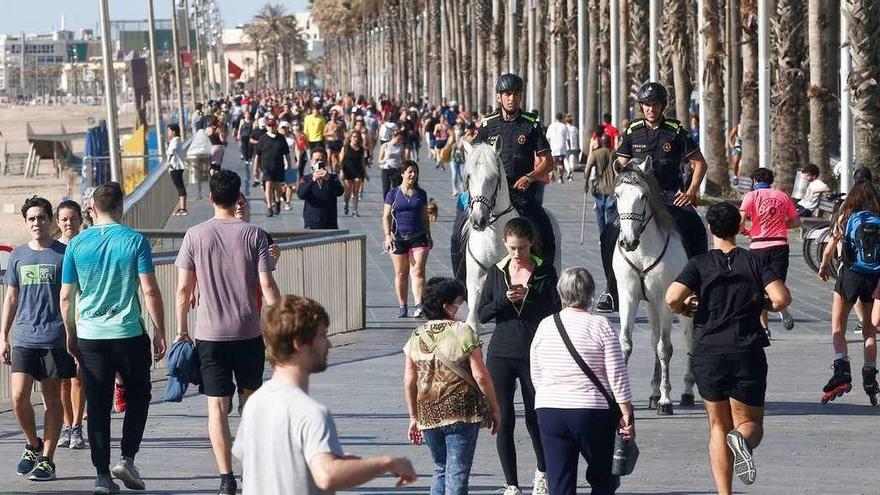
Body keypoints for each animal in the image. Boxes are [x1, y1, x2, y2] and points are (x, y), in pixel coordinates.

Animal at [458, 138, 560, 330]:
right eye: (469, 177)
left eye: (493, 177)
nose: (478, 220)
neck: (494, 236)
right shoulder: (476, 282)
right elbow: (473, 318)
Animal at [612, 158, 696, 414]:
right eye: (617, 195)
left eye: (643, 196)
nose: (628, 241)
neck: (641, 250)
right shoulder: (628, 297)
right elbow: (627, 343)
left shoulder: (664, 300)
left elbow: (665, 348)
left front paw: (665, 400)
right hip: (650, 306)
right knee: (654, 337)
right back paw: (653, 391)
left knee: (688, 339)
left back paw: (686, 392)